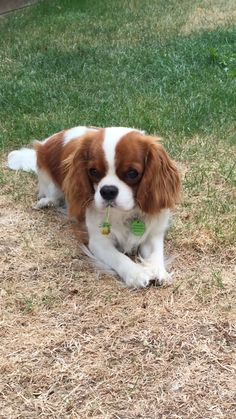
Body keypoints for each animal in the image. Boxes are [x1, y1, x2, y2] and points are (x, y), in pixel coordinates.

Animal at [7, 126, 181, 288]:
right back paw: (46, 202)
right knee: (53, 195)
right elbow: (118, 257)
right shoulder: (98, 243)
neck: (124, 213)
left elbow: (156, 253)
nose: (108, 191)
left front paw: (158, 270)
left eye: (132, 173)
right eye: (94, 171)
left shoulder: (154, 233)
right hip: (48, 179)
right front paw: (136, 273)